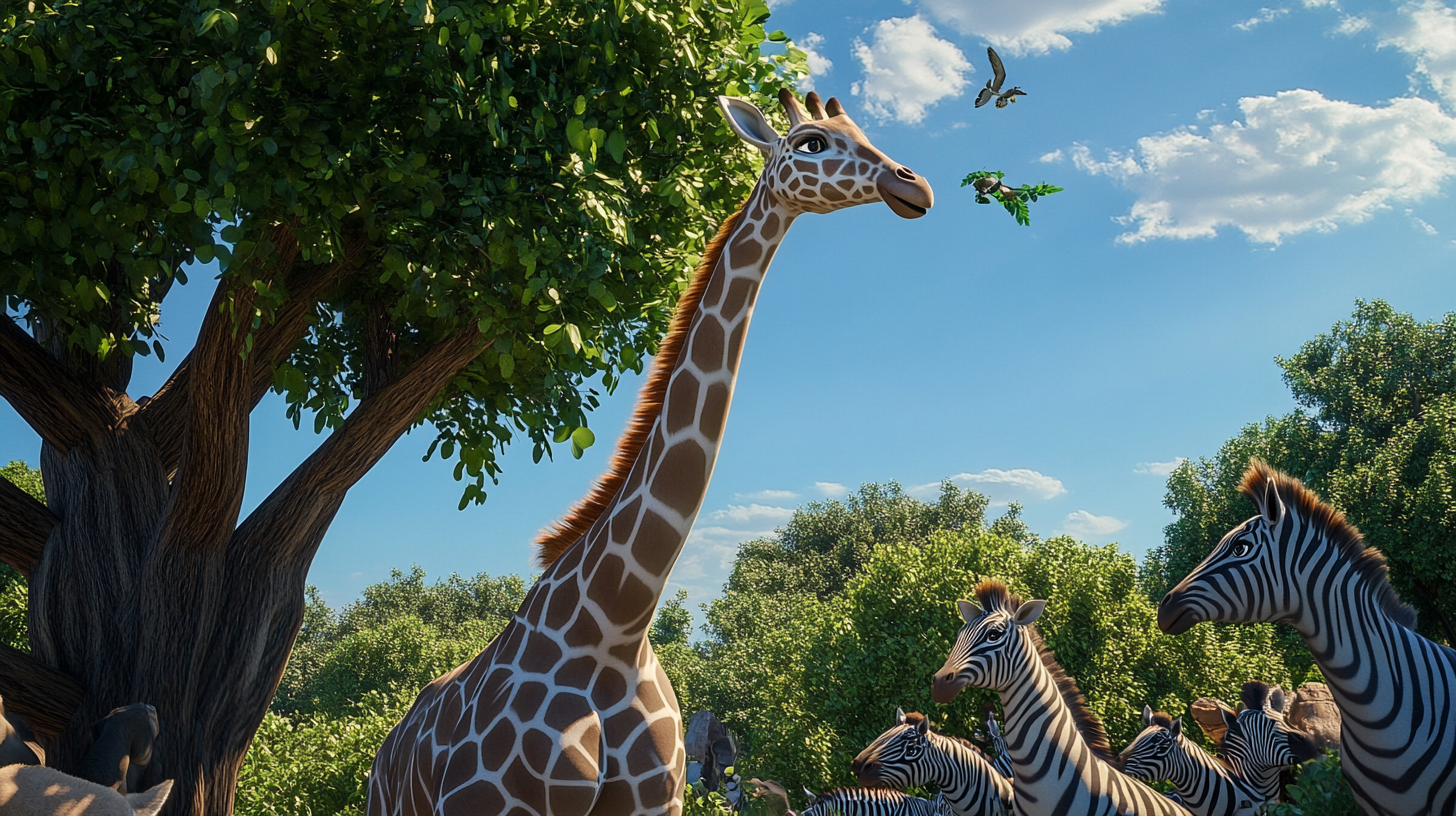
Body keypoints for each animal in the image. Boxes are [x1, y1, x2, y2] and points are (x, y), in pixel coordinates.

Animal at [364, 89, 931, 816]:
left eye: (860, 129)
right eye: (811, 143)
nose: (913, 187)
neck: (616, 626)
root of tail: (386, 750)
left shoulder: (659, 798)